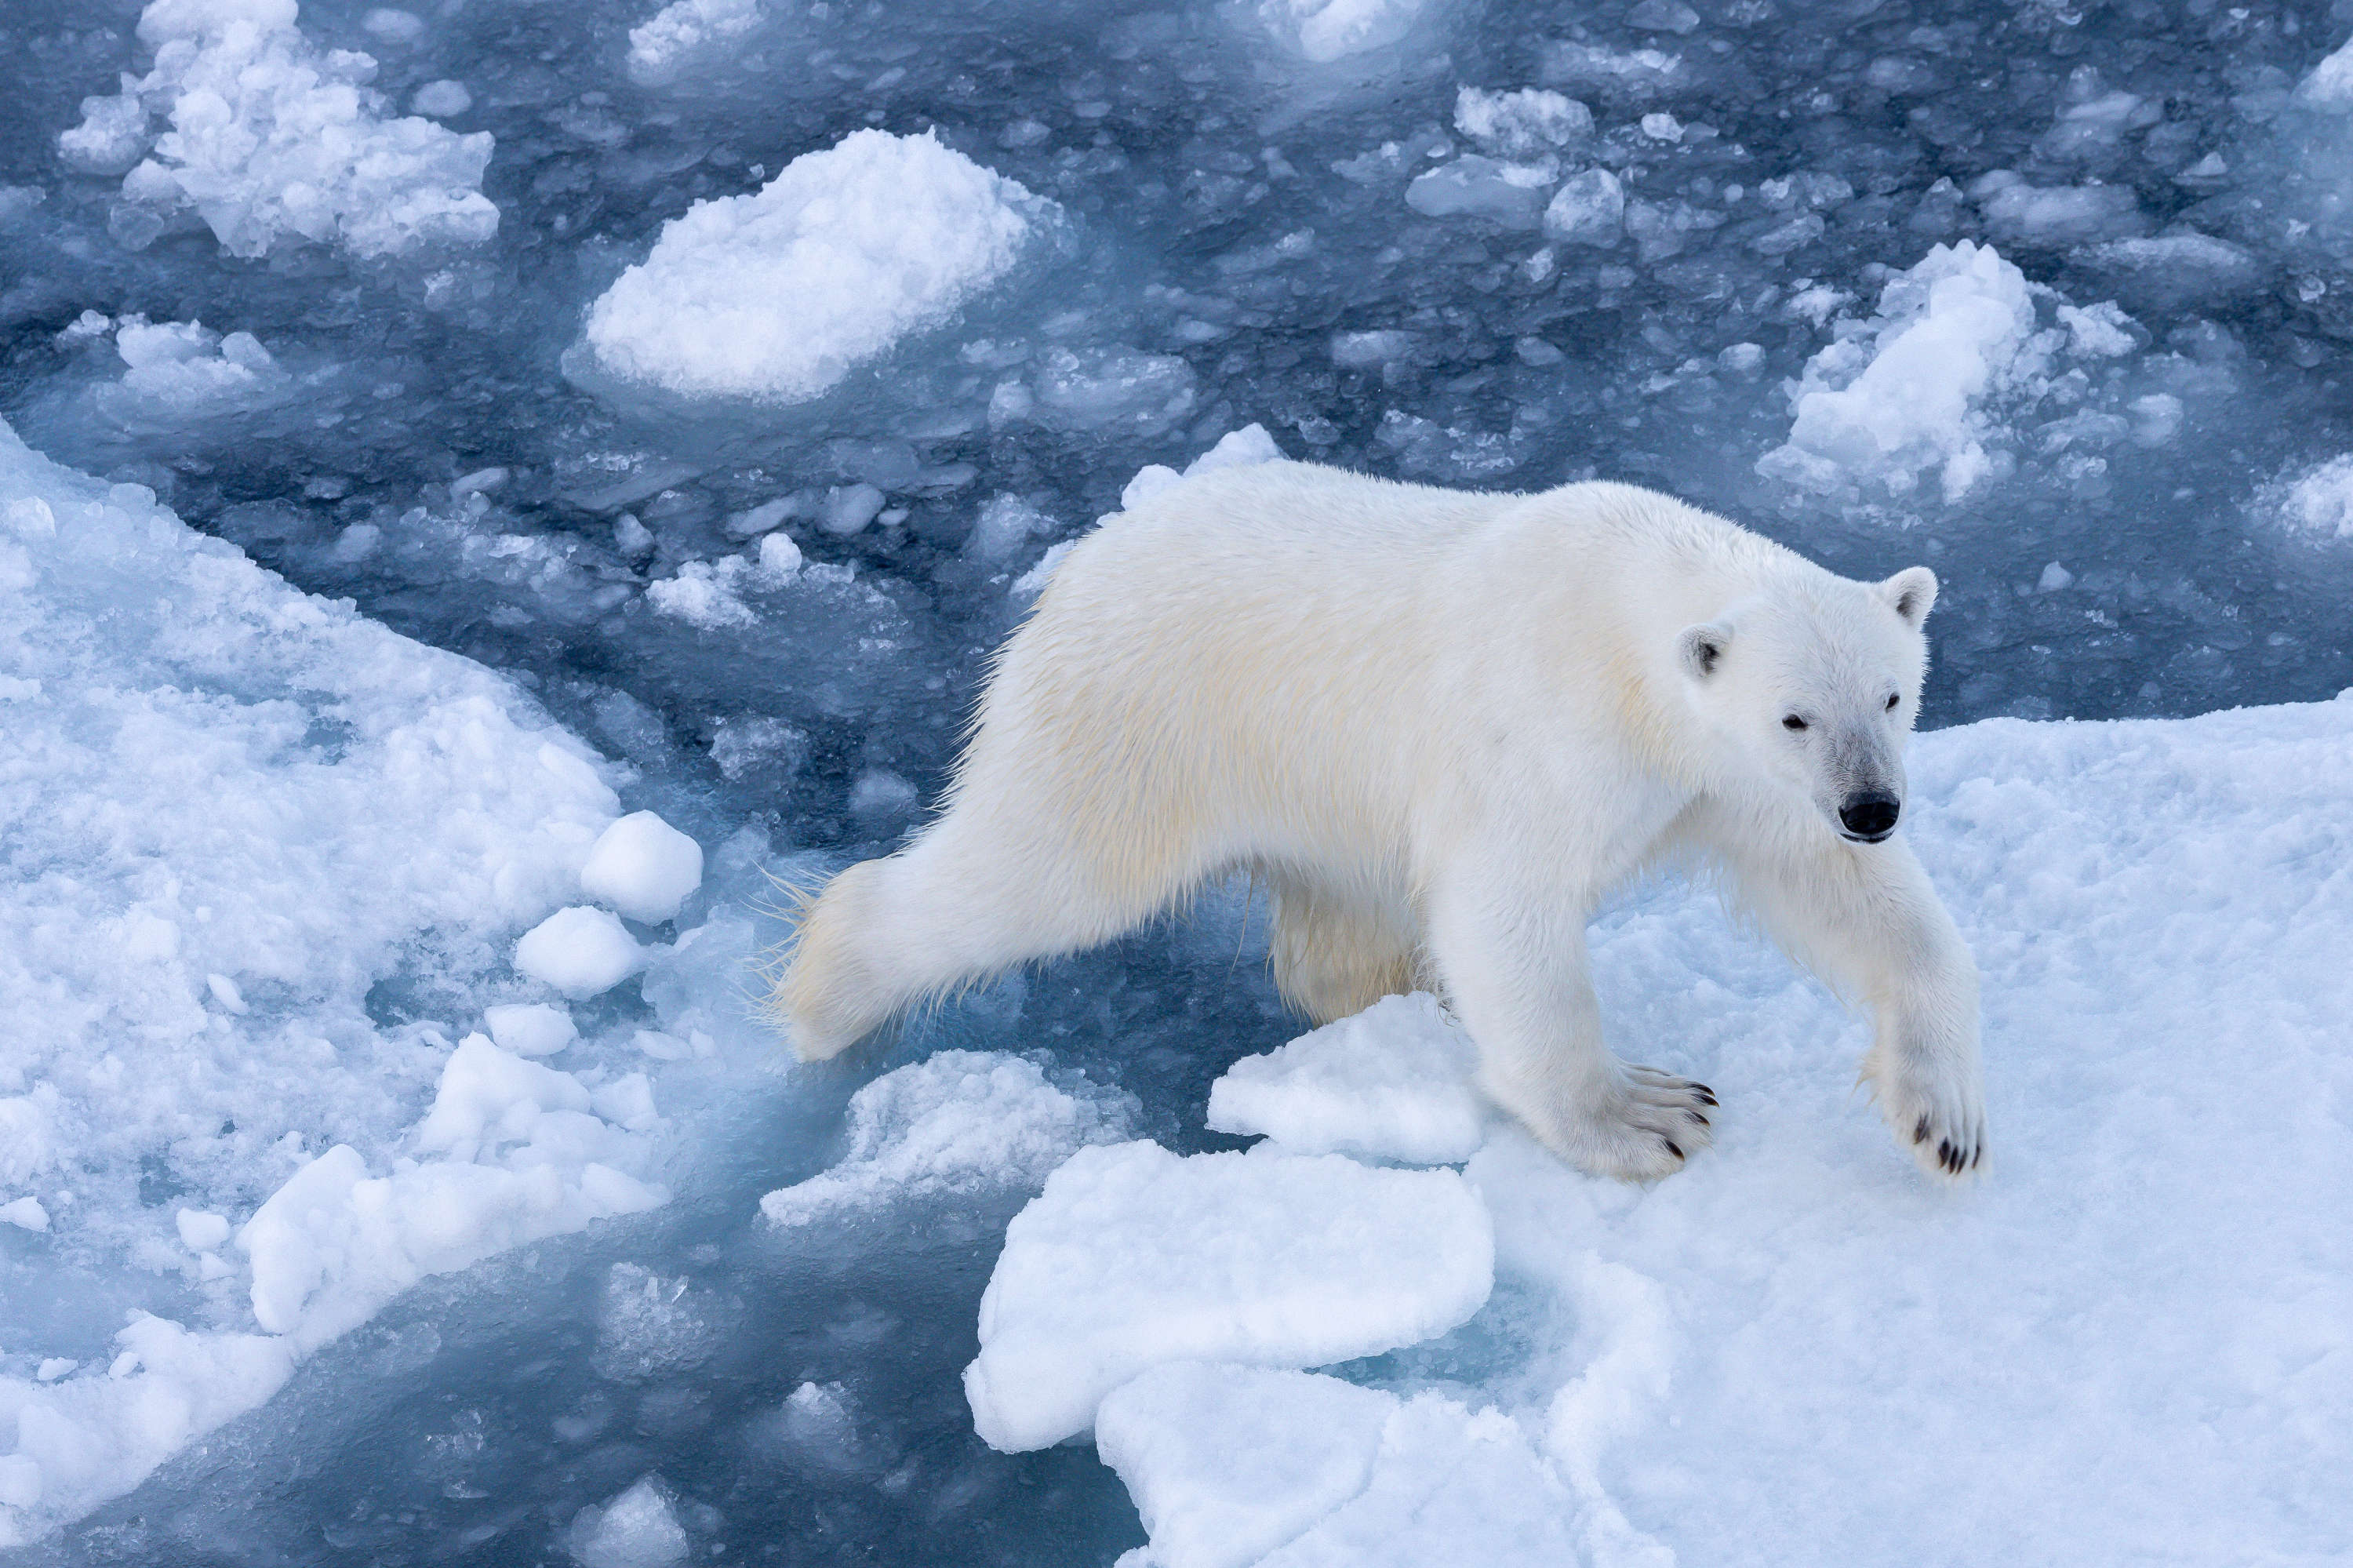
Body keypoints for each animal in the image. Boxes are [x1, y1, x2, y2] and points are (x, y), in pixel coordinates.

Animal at [773, 464, 1985, 1183]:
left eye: (1892, 694)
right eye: (1794, 713)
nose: (1873, 806)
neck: (1629, 611)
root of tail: (1075, 570)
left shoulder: (1732, 782)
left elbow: (1845, 893)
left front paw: (1944, 1115)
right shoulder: (1548, 733)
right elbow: (1505, 911)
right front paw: (1646, 1114)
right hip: (1139, 722)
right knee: (1039, 873)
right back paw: (827, 998)